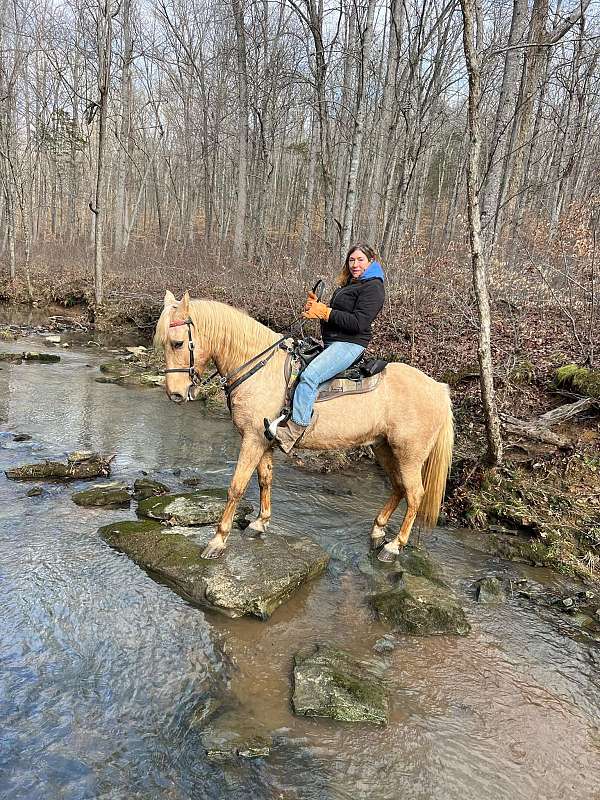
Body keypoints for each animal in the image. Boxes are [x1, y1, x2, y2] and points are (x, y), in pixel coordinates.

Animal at [155, 290, 454, 560]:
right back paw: (378, 531)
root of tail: (439, 389)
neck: (260, 368)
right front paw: (259, 523)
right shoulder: (264, 441)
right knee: (399, 487)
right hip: (384, 448)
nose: (175, 394)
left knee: (414, 494)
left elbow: (236, 487)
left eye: (178, 343)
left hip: (409, 455)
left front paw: (217, 541)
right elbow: (265, 479)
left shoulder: (251, 439)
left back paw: (393, 546)